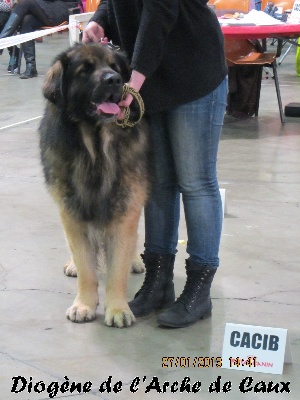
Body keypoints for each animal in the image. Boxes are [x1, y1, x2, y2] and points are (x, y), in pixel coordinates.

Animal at [38, 42, 149, 326]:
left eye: (114, 67)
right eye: (84, 70)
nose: (114, 80)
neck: (95, 148)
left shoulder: (125, 207)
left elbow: (117, 268)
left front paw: (118, 309)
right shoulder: (71, 211)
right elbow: (86, 265)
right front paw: (84, 305)